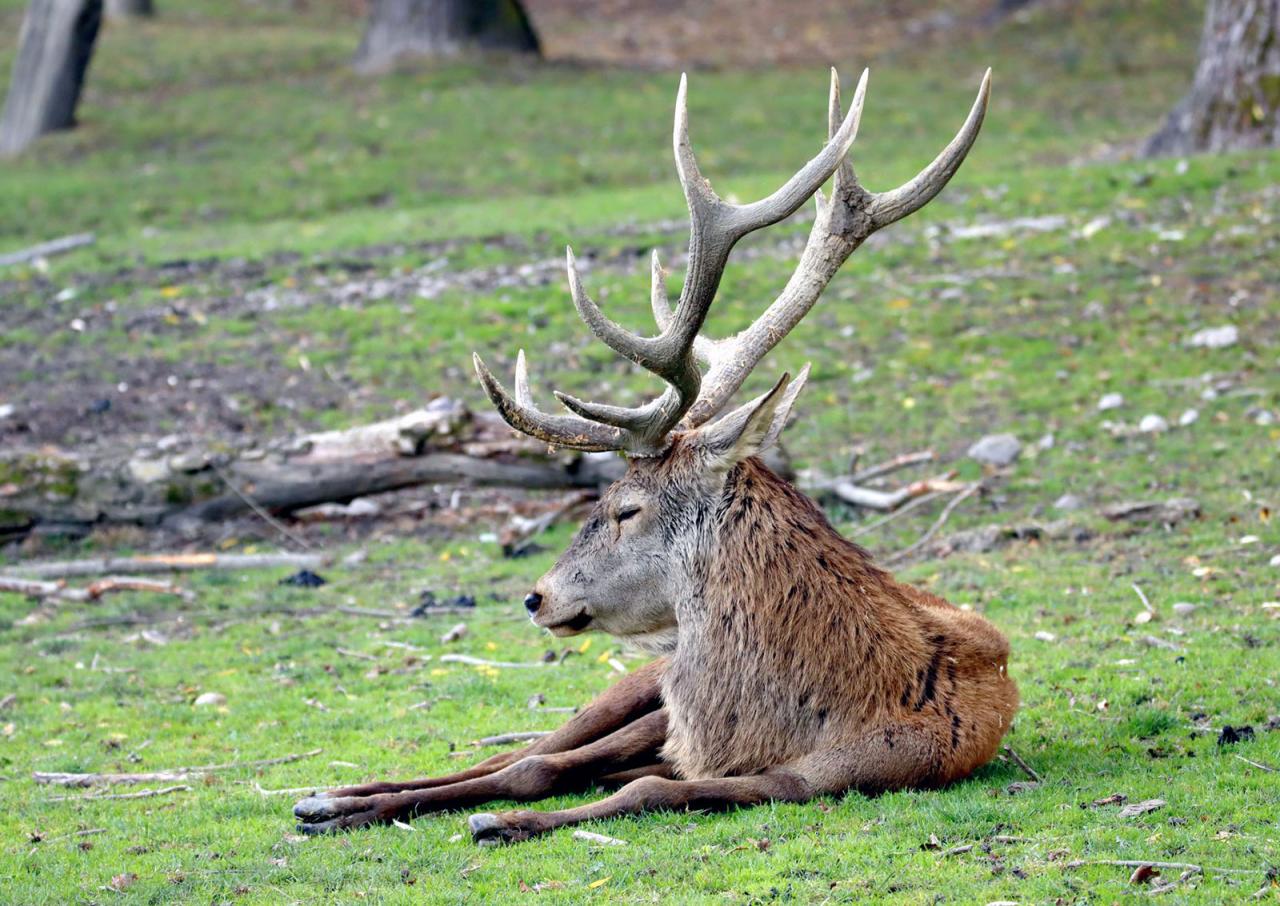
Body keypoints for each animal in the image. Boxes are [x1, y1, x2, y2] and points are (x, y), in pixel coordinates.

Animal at [293, 66, 1018, 843]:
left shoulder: (815, 776)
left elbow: (644, 788)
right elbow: (533, 766)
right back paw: (331, 795)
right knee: (518, 749)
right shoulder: (668, 718)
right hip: (631, 685)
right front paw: (451, 811)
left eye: (625, 509)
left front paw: (504, 822)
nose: (536, 595)